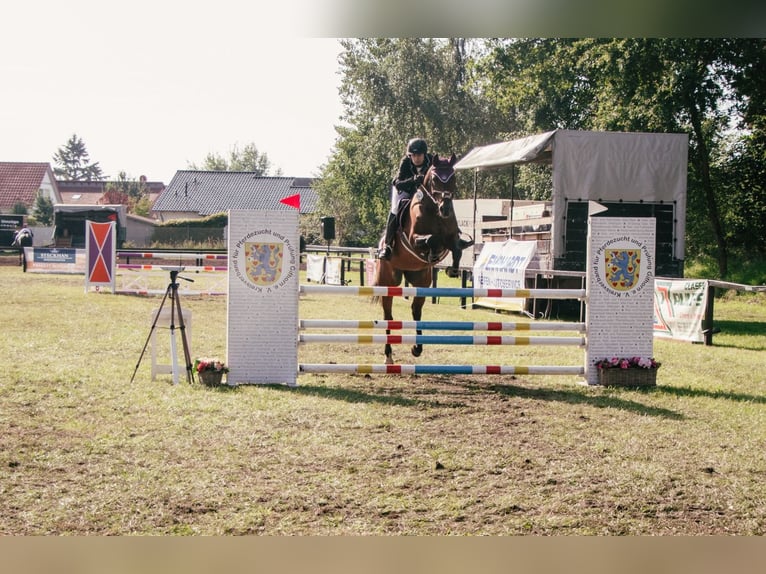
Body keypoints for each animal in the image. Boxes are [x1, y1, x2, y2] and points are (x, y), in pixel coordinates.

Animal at [374, 154, 474, 364]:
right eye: (435, 179)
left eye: (453, 177)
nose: (445, 208)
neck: (434, 211)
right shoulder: (414, 240)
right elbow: (432, 239)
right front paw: (433, 253)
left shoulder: (451, 238)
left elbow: (456, 248)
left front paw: (453, 269)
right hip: (388, 281)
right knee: (388, 316)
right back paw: (388, 355)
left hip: (421, 280)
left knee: (416, 311)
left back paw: (417, 348)